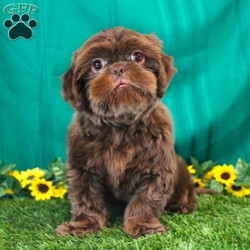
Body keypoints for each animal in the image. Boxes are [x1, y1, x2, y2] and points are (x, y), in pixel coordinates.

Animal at [55, 27, 196, 238]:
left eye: (138, 57)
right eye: (96, 64)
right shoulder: (83, 167)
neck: (121, 124)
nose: (119, 68)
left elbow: (146, 199)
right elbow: (86, 198)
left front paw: (143, 225)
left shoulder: (156, 167)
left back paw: (182, 204)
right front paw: (83, 224)